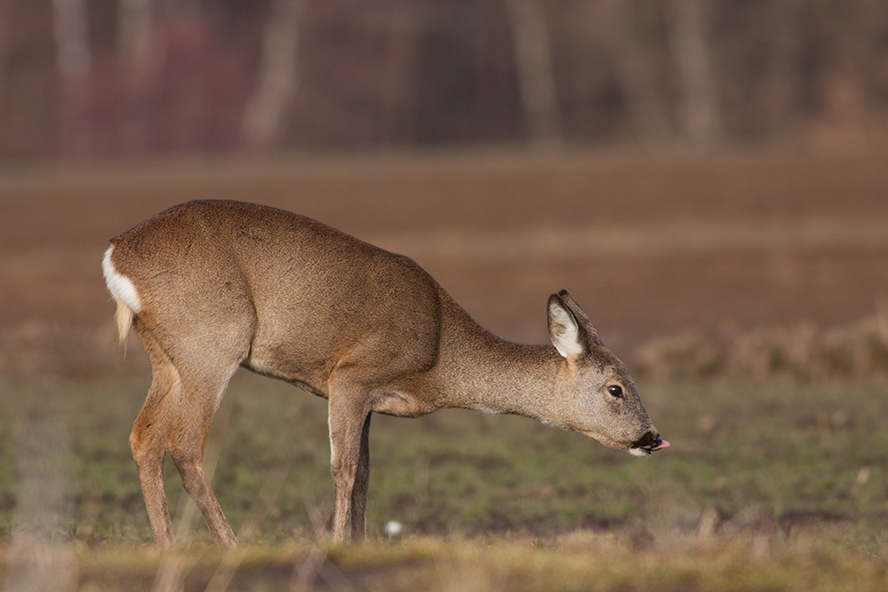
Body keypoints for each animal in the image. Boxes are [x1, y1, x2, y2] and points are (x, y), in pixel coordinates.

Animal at [102, 201, 664, 548]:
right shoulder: (350, 376)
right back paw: (231, 546)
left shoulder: (371, 400)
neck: (440, 356)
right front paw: (335, 546)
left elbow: (367, 476)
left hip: (167, 355)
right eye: (615, 388)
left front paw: (360, 545)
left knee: (143, 437)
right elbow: (344, 469)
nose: (652, 437)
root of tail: (115, 254)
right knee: (184, 444)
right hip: (213, 341)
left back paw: (169, 548)